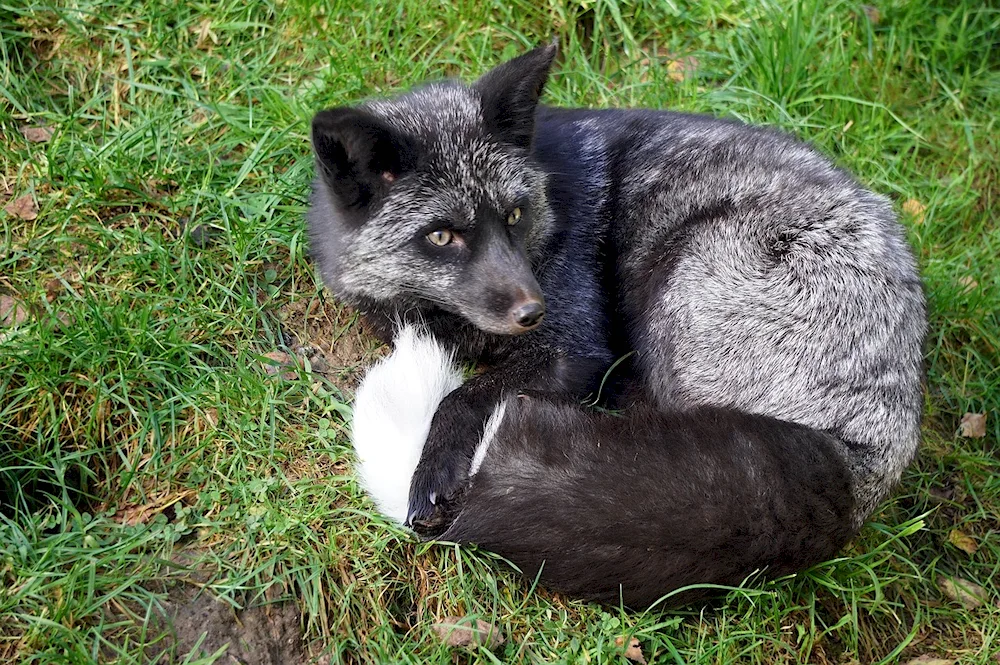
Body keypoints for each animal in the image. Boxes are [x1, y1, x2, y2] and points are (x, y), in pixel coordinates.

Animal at [306, 44, 928, 608]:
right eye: (440, 236)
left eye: (513, 215)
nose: (534, 311)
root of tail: (866, 457)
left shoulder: (574, 350)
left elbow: (463, 397)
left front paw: (433, 469)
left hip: (684, 273)